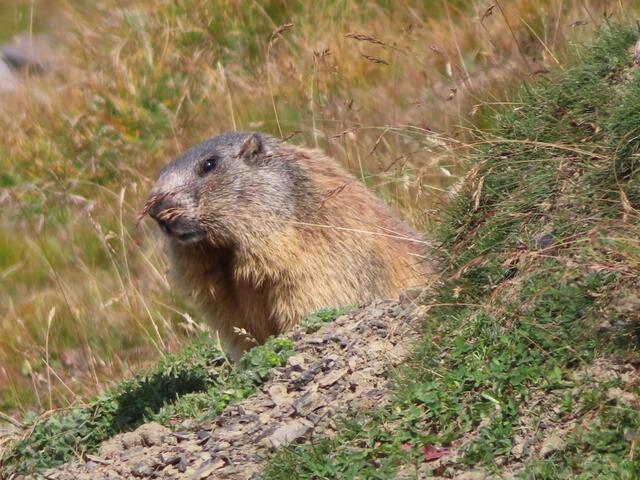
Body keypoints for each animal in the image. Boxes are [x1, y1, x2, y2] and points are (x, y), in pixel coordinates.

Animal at [142, 132, 431, 359]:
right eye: (159, 174)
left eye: (209, 164)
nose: (155, 210)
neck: (227, 254)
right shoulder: (223, 298)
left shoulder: (318, 264)